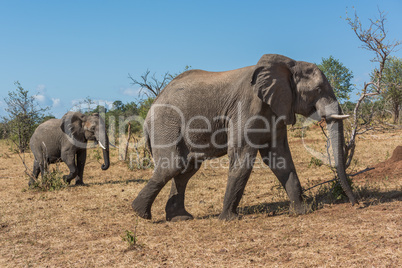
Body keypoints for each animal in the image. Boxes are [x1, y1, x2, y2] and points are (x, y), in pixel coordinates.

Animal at [132, 53, 358, 221]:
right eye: (318, 89)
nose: (356, 203)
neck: (288, 63)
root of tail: (151, 107)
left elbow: (279, 157)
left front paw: (302, 212)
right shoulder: (247, 106)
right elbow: (243, 155)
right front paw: (228, 220)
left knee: (186, 170)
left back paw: (180, 218)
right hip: (166, 125)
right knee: (173, 165)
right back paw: (141, 213)